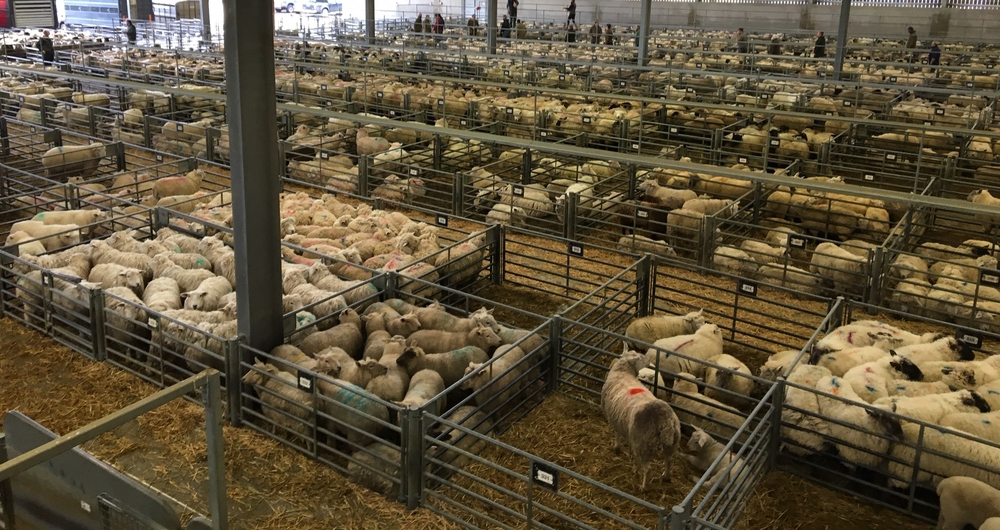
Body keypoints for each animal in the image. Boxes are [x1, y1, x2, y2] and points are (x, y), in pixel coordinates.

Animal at [600, 346, 680, 490]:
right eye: (639, 357)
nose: (648, 359)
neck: (622, 372)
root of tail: (664, 421)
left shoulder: (613, 418)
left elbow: (617, 434)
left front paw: (616, 447)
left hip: (641, 444)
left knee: (648, 469)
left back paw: (644, 488)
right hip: (672, 443)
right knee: (669, 461)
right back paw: (666, 477)